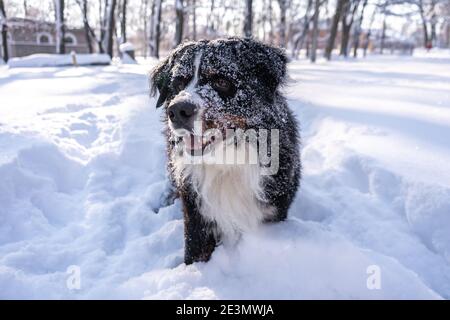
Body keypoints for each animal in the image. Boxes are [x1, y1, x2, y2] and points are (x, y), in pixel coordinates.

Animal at [149, 37, 300, 264]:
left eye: (221, 81)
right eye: (178, 83)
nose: (177, 110)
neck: (227, 162)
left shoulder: (273, 210)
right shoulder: (196, 213)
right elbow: (195, 253)